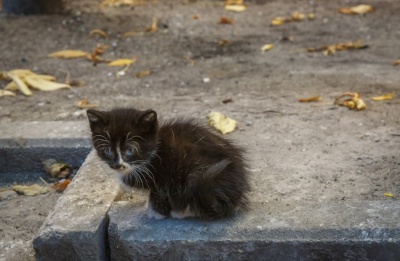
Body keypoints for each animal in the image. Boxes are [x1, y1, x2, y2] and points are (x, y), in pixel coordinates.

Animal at [87, 106, 250, 218]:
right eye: (107, 150)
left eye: (130, 150)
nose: (117, 165)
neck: (154, 152)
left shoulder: (163, 176)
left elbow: (158, 193)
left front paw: (155, 212)